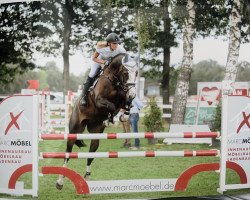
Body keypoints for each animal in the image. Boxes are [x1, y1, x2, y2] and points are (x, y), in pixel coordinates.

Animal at [55, 53, 138, 189]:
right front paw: (110, 119)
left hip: (95, 133)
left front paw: (120, 116)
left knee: (91, 154)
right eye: (126, 73)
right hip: (74, 130)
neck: (114, 80)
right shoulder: (99, 100)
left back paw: (87, 176)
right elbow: (111, 106)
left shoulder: (122, 100)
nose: (132, 94)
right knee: (68, 154)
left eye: (136, 73)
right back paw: (60, 181)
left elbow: (126, 106)